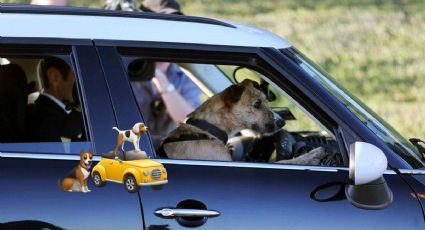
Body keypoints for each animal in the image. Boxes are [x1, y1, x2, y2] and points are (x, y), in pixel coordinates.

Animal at [157, 80, 326, 164]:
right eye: (257, 104)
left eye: (267, 101)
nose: (282, 122)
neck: (209, 130)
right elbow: (285, 162)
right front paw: (311, 156)